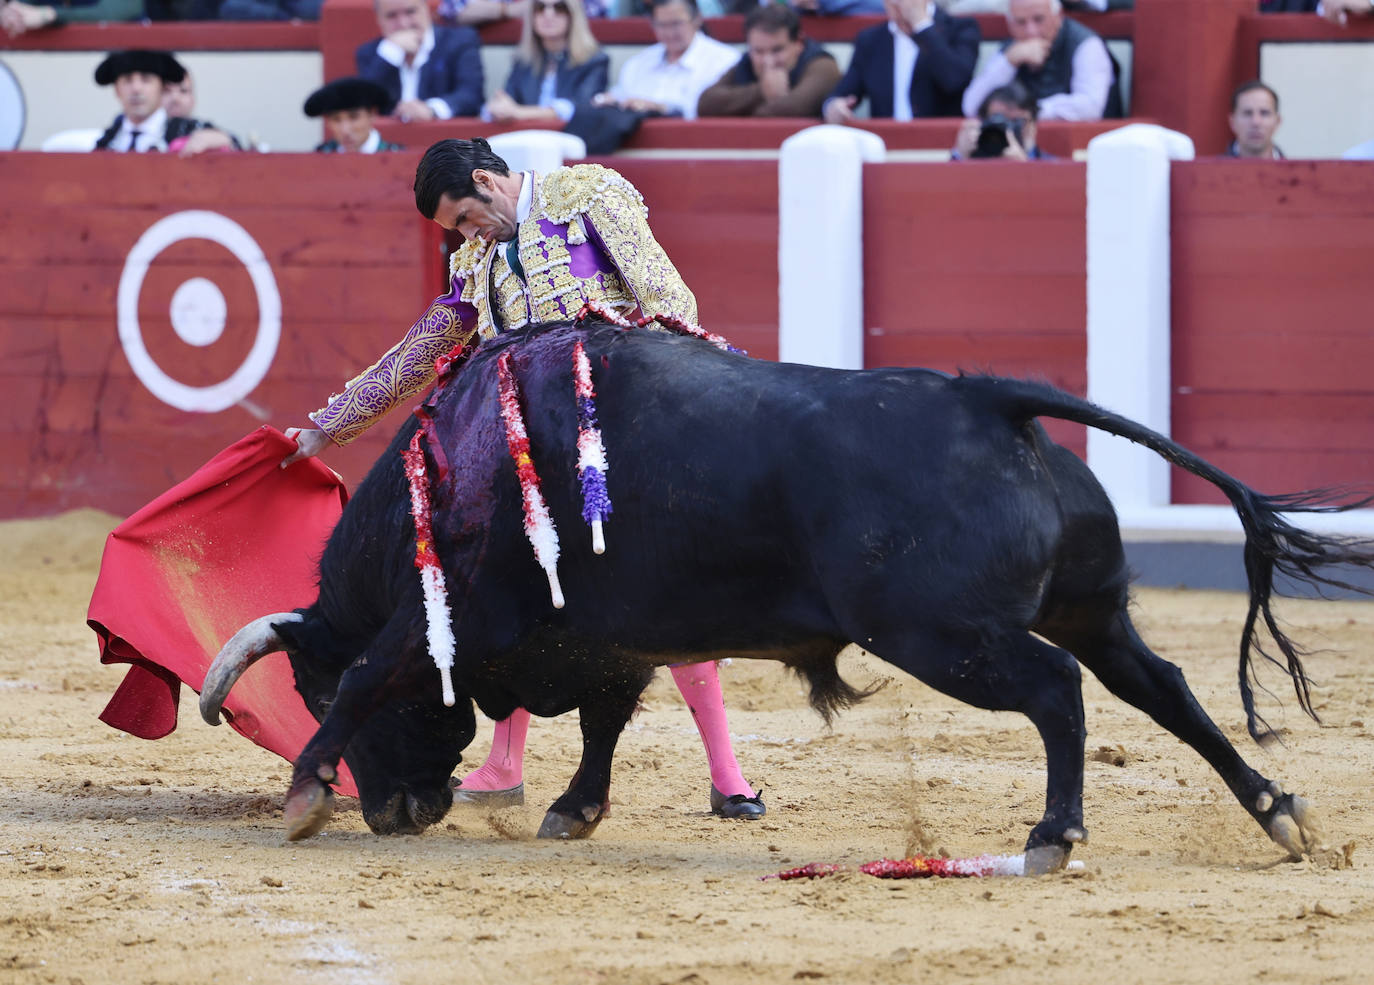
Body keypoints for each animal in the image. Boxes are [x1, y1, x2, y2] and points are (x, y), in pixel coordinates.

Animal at [199, 317, 1368, 868]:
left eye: (302, 687)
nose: (397, 812)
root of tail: (989, 401)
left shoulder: (463, 614)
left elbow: (372, 669)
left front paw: (305, 794)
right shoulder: (609, 637)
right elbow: (608, 722)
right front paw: (573, 811)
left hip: (942, 634)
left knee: (1056, 693)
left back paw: (1053, 833)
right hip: (1092, 608)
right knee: (1161, 686)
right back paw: (1278, 813)